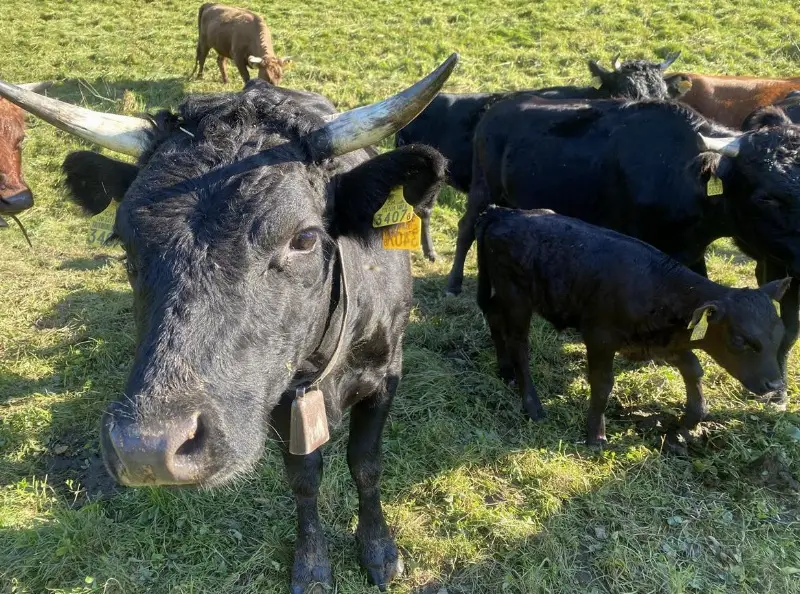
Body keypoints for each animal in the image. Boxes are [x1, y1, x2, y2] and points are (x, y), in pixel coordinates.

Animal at [445, 95, 800, 407]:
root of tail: (500, 105)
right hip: (482, 187)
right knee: (465, 227)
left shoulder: (691, 252)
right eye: (767, 196)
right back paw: (453, 283)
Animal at [475, 206, 789, 444]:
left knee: (493, 315)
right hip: (516, 296)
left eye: (780, 335)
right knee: (519, 344)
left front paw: (690, 421)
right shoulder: (599, 337)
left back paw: (505, 370)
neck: (657, 287)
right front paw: (595, 436)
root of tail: (503, 212)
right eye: (739, 340)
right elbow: (603, 383)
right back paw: (532, 404)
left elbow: (693, 368)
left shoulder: (662, 341)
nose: (775, 384)